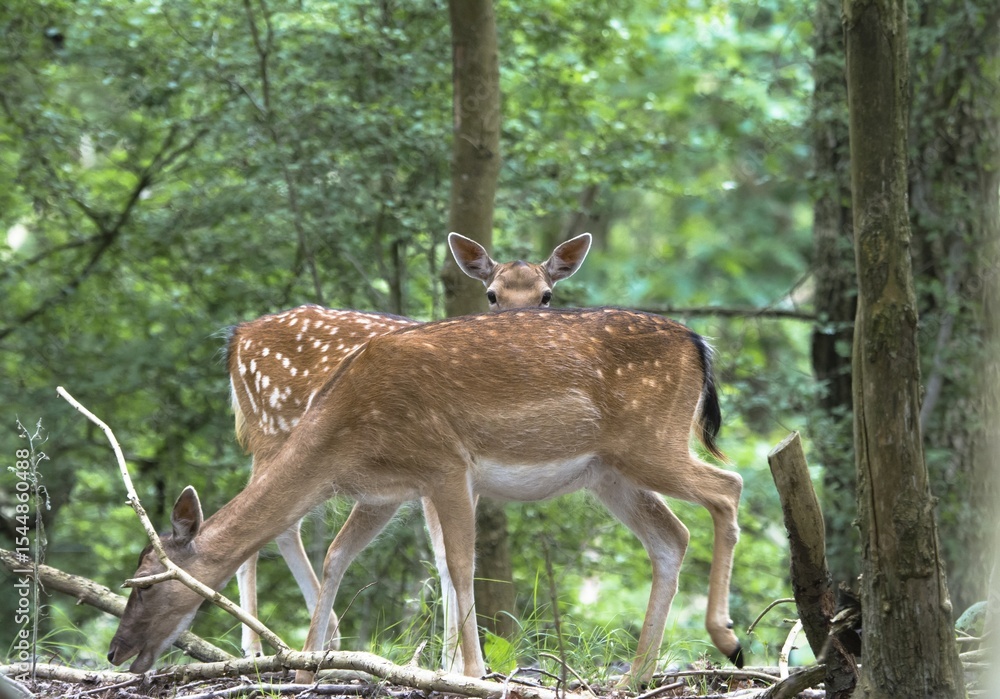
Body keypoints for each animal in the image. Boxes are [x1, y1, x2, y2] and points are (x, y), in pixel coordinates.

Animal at [108, 307, 744, 686]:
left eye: (146, 584)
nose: (114, 652)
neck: (343, 430)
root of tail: (699, 343)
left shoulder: (445, 463)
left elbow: (458, 563)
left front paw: (470, 673)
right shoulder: (386, 491)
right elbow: (340, 556)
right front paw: (311, 663)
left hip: (648, 442)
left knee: (729, 487)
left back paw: (728, 639)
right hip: (609, 472)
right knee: (672, 536)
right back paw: (635, 676)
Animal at [226, 231, 593, 659]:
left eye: (546, 296)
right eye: (491, 295)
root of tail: (239, 337)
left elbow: (445, 556)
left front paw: (448, 658)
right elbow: (446, 557)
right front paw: (454, 660)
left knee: (282, 521)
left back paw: (324, 634)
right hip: (272, 429)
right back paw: (257, 647)